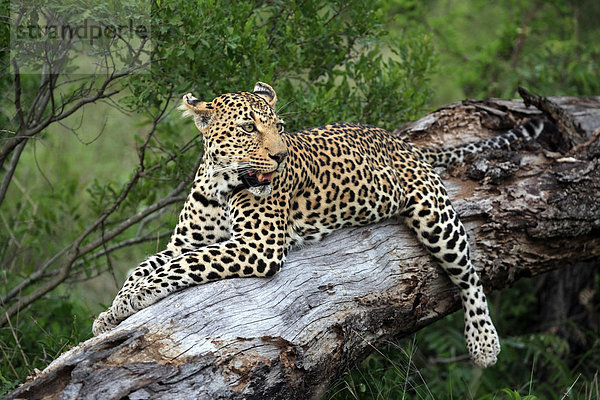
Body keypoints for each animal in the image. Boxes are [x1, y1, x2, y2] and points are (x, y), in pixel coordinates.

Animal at [92, 82, 544, 368]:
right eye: (248, 128)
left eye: (279, 127)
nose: (278, 157)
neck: (221, 183)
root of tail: (400, 140)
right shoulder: (184, 241)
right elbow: (146, 265)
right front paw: (112, 314)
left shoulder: (257, 246)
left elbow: (178, 267)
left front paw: (131, 301)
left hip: (434, 217)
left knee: (469, 273)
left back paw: (484, 343)